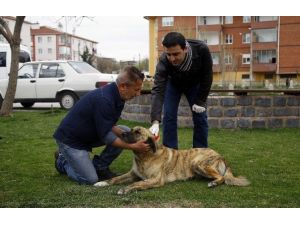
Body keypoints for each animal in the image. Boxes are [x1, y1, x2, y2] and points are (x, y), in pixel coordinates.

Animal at [95, 125, 250, 194]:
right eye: (131, 130)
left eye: (137, 132)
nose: (121, 133)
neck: (145, 157)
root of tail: (220, 155)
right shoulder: (132, 174)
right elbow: (116, 178)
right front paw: (102, 182)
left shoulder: (155, 179)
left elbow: (137, 183)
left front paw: (125, 189)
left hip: (197, 163)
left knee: (221, 177)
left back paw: (213, 183)